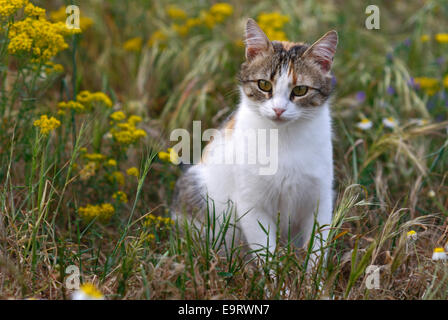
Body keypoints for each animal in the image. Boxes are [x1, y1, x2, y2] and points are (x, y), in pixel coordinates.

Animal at [172, 18, 336, 268]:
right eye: (264, 85)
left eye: (300, 90)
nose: (278, 109)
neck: (283, 139)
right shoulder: (251, 204)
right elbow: (265, 252)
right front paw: (273, 280)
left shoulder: (320, 201)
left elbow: (316, 253)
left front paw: (313, 280)